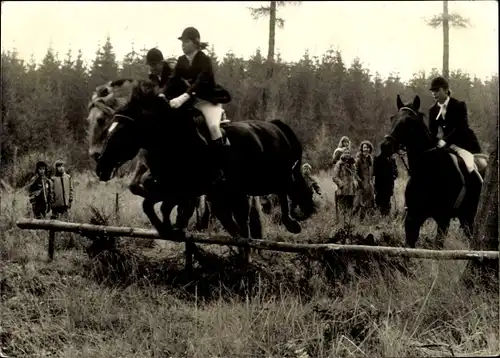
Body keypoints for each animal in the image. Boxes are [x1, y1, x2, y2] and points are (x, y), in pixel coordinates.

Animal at [94, 79, 312, 260]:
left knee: (287, 187)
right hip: (236, 191)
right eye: (108, 131)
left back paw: (294, 221)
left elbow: (163, 205)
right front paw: (169, 229)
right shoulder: (171, 189)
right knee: (240, 222)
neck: (169, 140)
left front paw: (174, 227)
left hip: (269, 177)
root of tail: (274, 126)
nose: (101, 169)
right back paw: (245, 252)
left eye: (121, 134)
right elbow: (150, 204)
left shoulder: (186, 190)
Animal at [380, 93, 486, 248]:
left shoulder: (443, 219)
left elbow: (438, 247)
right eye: (392, 118)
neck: (427, 173)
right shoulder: (413, 217)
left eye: (409, 121)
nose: (385, 146)